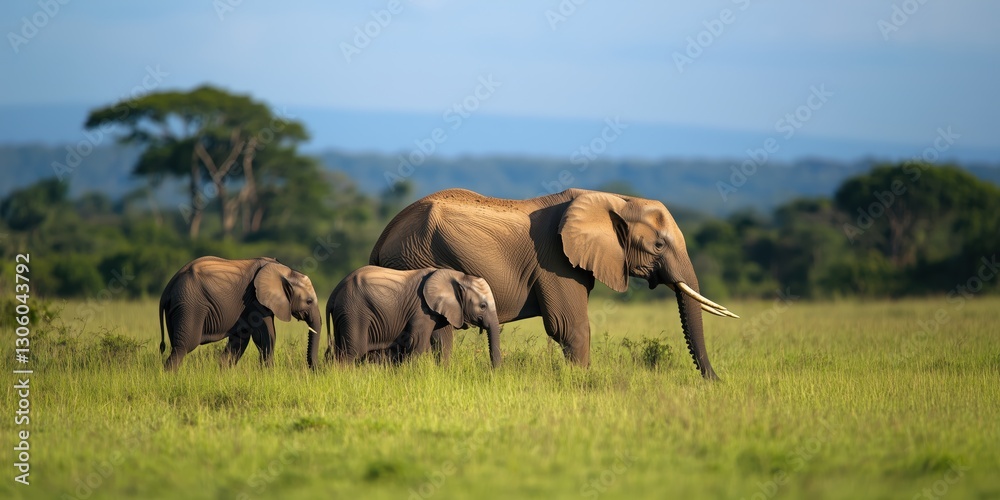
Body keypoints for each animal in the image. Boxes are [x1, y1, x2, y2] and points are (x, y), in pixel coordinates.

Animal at [159, 256, 322, 371]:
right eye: (308, 301)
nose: (314, 370)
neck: (284, 270)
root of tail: (168, 287)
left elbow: (241, 339)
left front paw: (223, 372)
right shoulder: (256, 301)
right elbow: (265, 336)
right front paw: (268, 374)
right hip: (189, 305)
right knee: (183, 346)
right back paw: (169, 377)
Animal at [325, 266, 502, 367]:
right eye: (483, 306)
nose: (493, 373)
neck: (457, 276)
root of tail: (334, 293)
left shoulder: (437, 311)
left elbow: (442, 342)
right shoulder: (421, 310)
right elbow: (418, 343)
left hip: (345, 314)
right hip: (353, 311)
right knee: (352, 351)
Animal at [370, 188, 738, 379]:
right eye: (659, 245)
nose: (716, 382)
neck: (613, 199)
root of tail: (382, 236)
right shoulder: (555, 262)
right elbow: (569, 327)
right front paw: (582, 382)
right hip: (417, 259)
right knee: (439, 333)